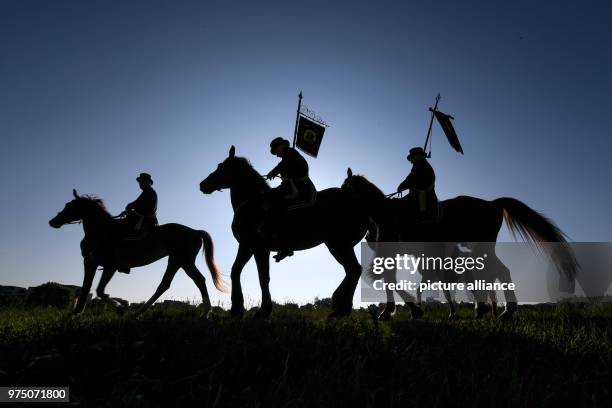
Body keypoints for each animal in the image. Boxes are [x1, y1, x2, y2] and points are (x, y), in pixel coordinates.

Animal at [47, 190, 225, 318]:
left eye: (71, 206)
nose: (53, 221)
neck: (102, 231)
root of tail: (195, 231)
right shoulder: (90, 263)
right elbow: (86, 287)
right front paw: (77, 312)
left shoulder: (109, 266)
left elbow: (99, 290)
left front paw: (120, 308)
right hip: (176, 261)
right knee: (165, 284)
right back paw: (139, 312)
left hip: (184, 260)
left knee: (198, 280)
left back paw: (205, 312)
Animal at [200, 147, 368, 318]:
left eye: (222, 167)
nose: (203, 184)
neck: (253, 203)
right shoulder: (254, 248)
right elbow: (247, 273)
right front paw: (247, 310)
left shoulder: (254, 247)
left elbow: (254, 276)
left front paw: (254, 311)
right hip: (336, 245)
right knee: (351, 271)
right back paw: (339, 305)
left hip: (339, 244)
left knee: (354, 270)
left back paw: (341, 307)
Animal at [344, 169, 580, 318]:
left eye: (346, 187)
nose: (367, 236)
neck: (385, 212)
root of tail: (492, 204)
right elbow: (388, 278)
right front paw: (396, 310)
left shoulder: (389, 252)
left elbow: (387, 278)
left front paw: (400, 311)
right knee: (499, 273)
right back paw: (499, 311)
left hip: (483, 247)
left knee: (500, 272)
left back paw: (505, 311)